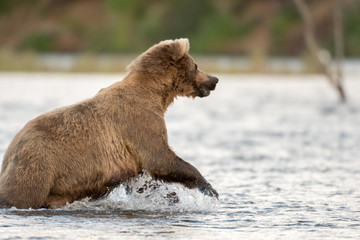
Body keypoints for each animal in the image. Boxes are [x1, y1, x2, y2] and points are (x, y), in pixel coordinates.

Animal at [0, 38, 219, 209]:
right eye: (196, 65)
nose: (215, 79)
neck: (156, 95)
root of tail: (11, 148)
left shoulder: (129, 157)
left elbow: (145, 178)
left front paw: (171, 198)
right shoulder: (138, 121)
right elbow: (159, 157)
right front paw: (209, 188)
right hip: (39, 164)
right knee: (21, 194)